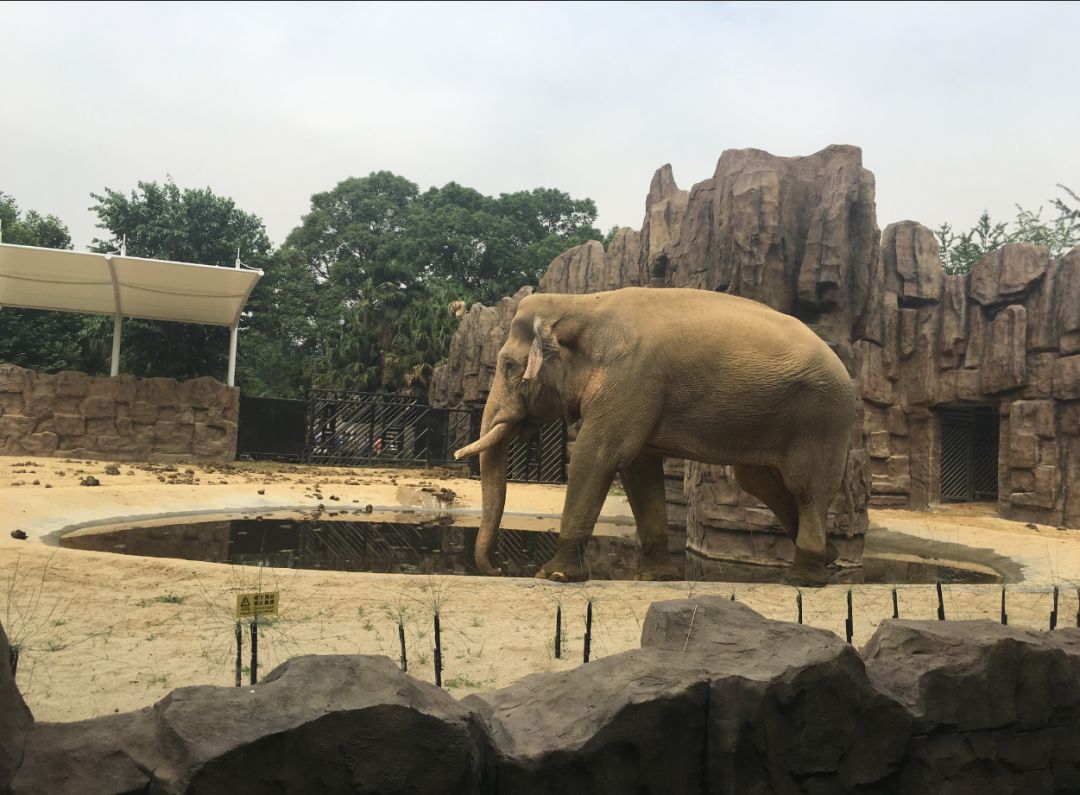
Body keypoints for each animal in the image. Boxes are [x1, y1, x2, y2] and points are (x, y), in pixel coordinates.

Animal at [451, 287, 855, 583]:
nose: (499, 568)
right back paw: (830, 558)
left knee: (805, 488)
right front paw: (657, 577)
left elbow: (598, 456)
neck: (582, 303)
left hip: (822, 418)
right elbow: (639, 470)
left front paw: (554, 575)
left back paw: (805, 576)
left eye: (508, 366)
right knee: (759, 481)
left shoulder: (631, 377)